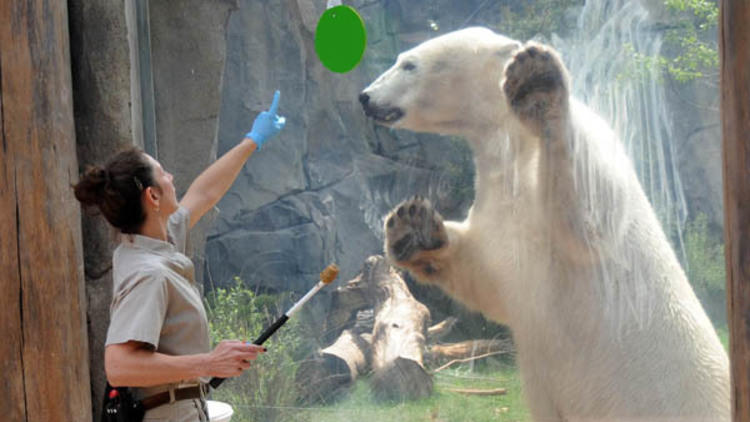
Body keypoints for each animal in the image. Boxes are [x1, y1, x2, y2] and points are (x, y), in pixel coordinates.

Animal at [362, 27, 732, 422]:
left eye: (409, 64)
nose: (365, 97)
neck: (514, 142)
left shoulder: (593, 149)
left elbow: (591, 220)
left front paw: (535, 83)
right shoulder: (497, 197)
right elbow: (488, 271)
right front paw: (412, 227)